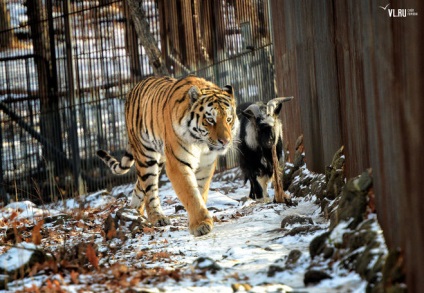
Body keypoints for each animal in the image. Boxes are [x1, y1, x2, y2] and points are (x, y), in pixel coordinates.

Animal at [97, 75, 240, 235]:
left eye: (229, 119)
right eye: (210, 120)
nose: (225, 141)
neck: (201, 144)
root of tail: (133, 88)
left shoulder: (206, 165)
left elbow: (201, 191)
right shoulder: (178, 163)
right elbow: (191, 194)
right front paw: (201, 224)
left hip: (158, 159)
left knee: (140, 186)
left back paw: (133, 212)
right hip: (146, 157)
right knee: (149, 190)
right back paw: (156, 217)